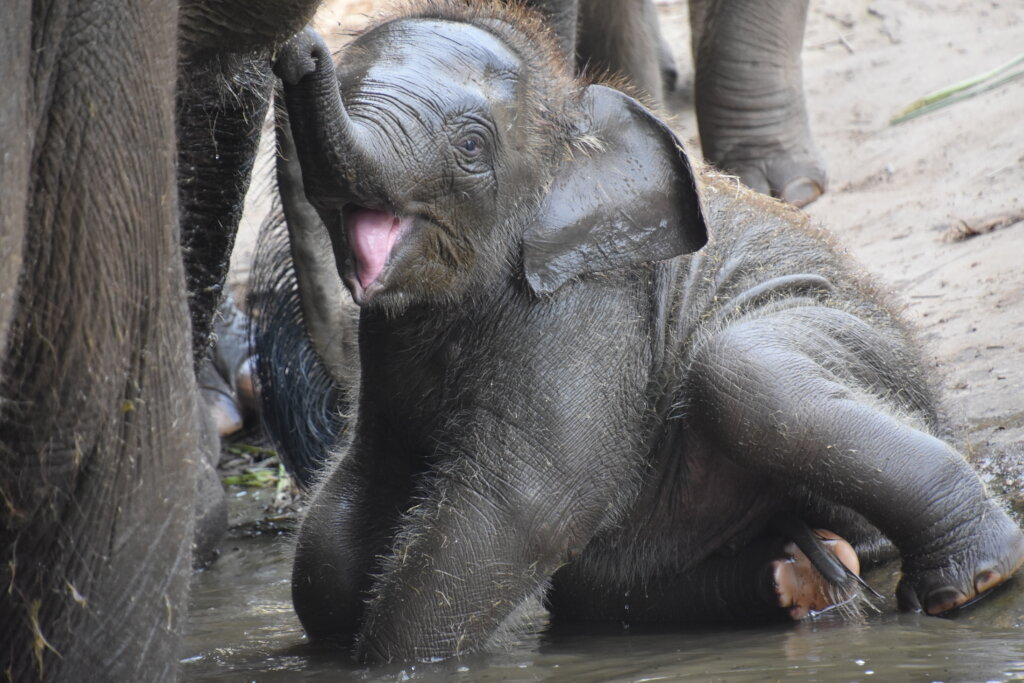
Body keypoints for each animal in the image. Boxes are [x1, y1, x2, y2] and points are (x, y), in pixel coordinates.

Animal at [266, 0, 1024, 664]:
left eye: (472, 145)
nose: (300, 48)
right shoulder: (388, 347)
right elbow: (358, 492)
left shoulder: (587, 308)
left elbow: (527, 502)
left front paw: (389, 663)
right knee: (598, 585)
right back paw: (800, 579)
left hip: (868, 347)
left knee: (744, 372)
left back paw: (966, 585)